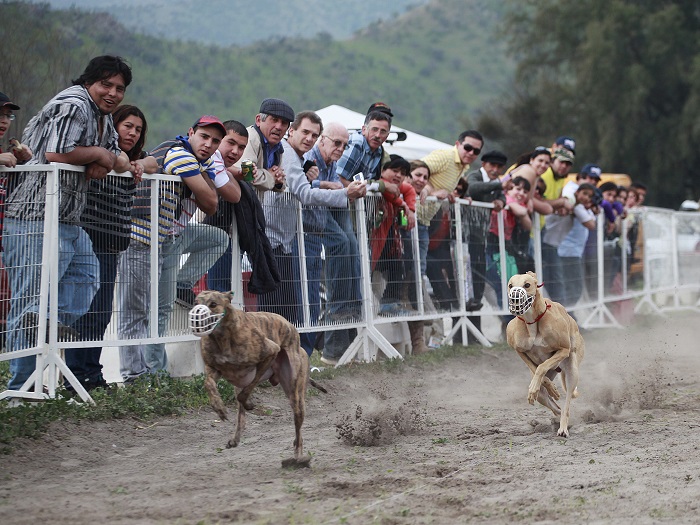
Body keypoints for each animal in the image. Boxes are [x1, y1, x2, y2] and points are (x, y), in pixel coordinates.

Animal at [193, 288, 310, 464]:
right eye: (195, 302)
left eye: (213, 304)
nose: (196, 319)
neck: (222, 337)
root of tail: (292, 329)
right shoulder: (213, 369)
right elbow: (209, 384)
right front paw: (219, 408)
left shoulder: (270, 352)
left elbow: (245, 393)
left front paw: (249, 404)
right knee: (241, 419)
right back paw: (235, 438)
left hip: (295, 392)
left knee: (298, 426)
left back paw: (298, 454)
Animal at [504, 272, 584, 436]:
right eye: (510, 285)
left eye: (527, 284)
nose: (515, 299)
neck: (532, 321)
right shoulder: (519, 351)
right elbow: (537, 370)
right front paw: (548, 388)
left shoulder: (563, 349)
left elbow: (541, 366)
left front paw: (544, 388)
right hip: (544, 391)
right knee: (556, 408)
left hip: (572, 370)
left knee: (566, 406)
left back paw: (563, 428)